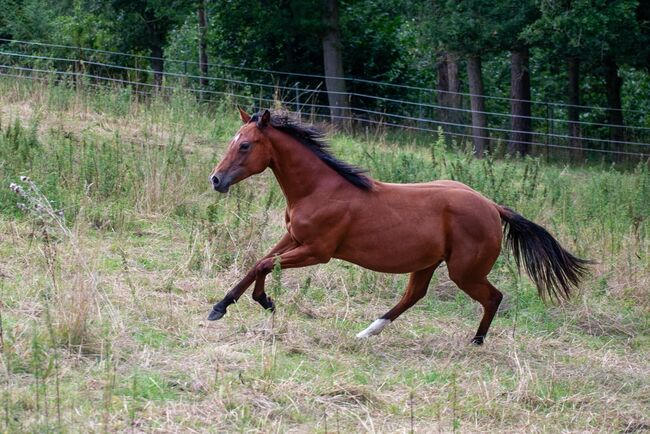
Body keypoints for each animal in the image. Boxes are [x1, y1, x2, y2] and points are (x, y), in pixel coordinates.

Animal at [207, 108, 589, 345]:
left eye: (245, 144)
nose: (216, 179)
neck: (320, 188)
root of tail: (492, 206)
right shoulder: (293, 237)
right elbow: (258, 261)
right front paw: (223, 306)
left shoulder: (317, 251)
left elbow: (264, 264)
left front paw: (263, 301)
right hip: (428, 264)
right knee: (412, 296)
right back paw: (367, 332)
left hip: (464, 271)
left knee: (492, 297)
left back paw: (476, 341)